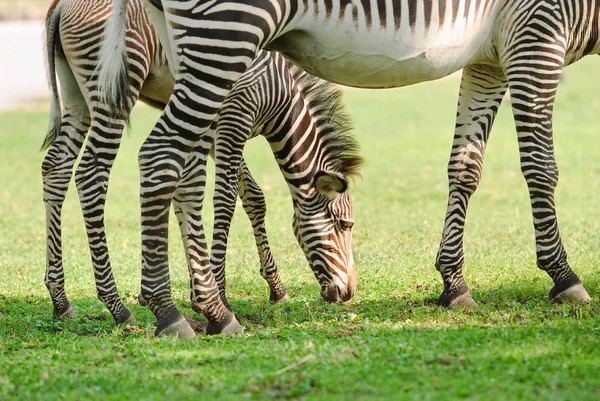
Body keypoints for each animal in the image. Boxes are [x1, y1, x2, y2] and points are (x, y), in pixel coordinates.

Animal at [43, 0, 360, 338]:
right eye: (345, 224)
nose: (348, 293)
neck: (280, 90)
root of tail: (62, 5)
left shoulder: (214, 132)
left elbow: (251, 197)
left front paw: (274, 288)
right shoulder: (234, 119)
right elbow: (225, 200)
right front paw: (219, 297)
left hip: (77, 97)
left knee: (56, 168)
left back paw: (60, 300)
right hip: (115, 88)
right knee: (91, 173)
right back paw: (116, 306)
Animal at [99, 0, 596, 336]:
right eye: (344, 224)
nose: (350, 293)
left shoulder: (487, 58)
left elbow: (464, 169)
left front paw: (454, 284)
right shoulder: (536, 33)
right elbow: (540, 165)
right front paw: (563, 275)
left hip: (185, 49)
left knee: (179, 173)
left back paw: (198, 308)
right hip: (224, 33)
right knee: (157, 155)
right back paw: (174, 311)